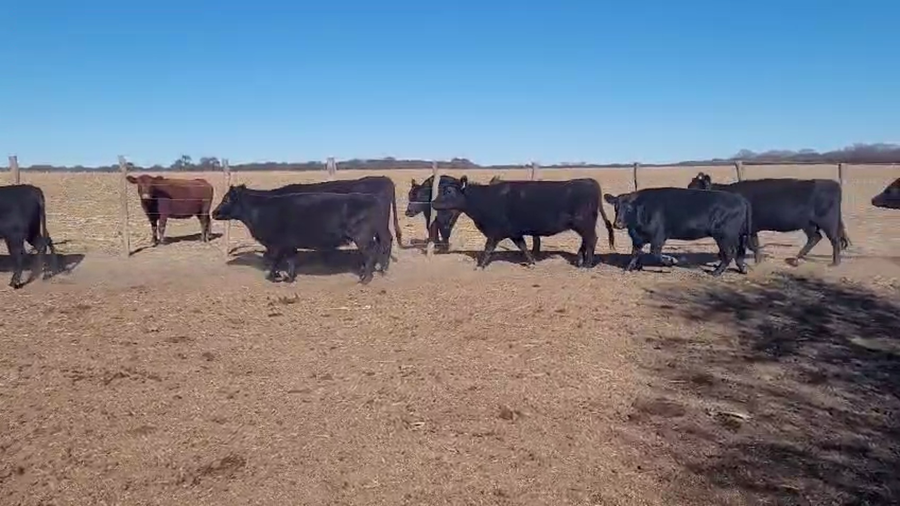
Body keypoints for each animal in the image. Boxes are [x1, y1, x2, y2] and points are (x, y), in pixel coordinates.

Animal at [211, 185, 391, 285]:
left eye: (226, 199)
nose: (214, 213)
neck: (260, 210)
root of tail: (373, 199)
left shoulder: (275, 244)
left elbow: (273, 260)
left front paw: (273, 277)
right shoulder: (288, 244)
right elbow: (289, 260)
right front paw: (288, 278)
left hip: (363, 237)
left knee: (371, 253)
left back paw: (365, 279)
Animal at [430, 176, 615, 270]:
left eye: (449, 191)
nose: (433, 203)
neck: (486, 199)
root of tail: (589, 181)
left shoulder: (494, 232)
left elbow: (488, 249)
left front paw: (480, 266)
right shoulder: (514, 232)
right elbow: (523, 247)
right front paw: (532, 262)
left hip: (584, 224)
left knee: (592, 240)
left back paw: (587, 265)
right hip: (583, 225)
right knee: (586, 241)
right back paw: (580, 262)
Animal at [603, 187, 755, 277]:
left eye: (629, 208)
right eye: (616, 207)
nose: (617, 224)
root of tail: (740, 198)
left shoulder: (658, 236)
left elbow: (655, 253)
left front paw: (671, 261)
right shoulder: (637, 238)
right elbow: (635, 253)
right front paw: (628, 268)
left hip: (724, 235)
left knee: (729, 252)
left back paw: (716, 272)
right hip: (737, 235)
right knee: (739, 251)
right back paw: (742, 269)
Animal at [687, 172, 850, 266]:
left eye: (696, 189)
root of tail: (833, 184)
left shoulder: (746, 229)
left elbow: (751, 245)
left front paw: (757, 261)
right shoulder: (750, 229)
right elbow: (754, 244)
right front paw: (758, 260)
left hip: (828, 222)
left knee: (834, 240)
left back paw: (835, 263)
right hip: (809, 224)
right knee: (815, 238)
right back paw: (797, 259)